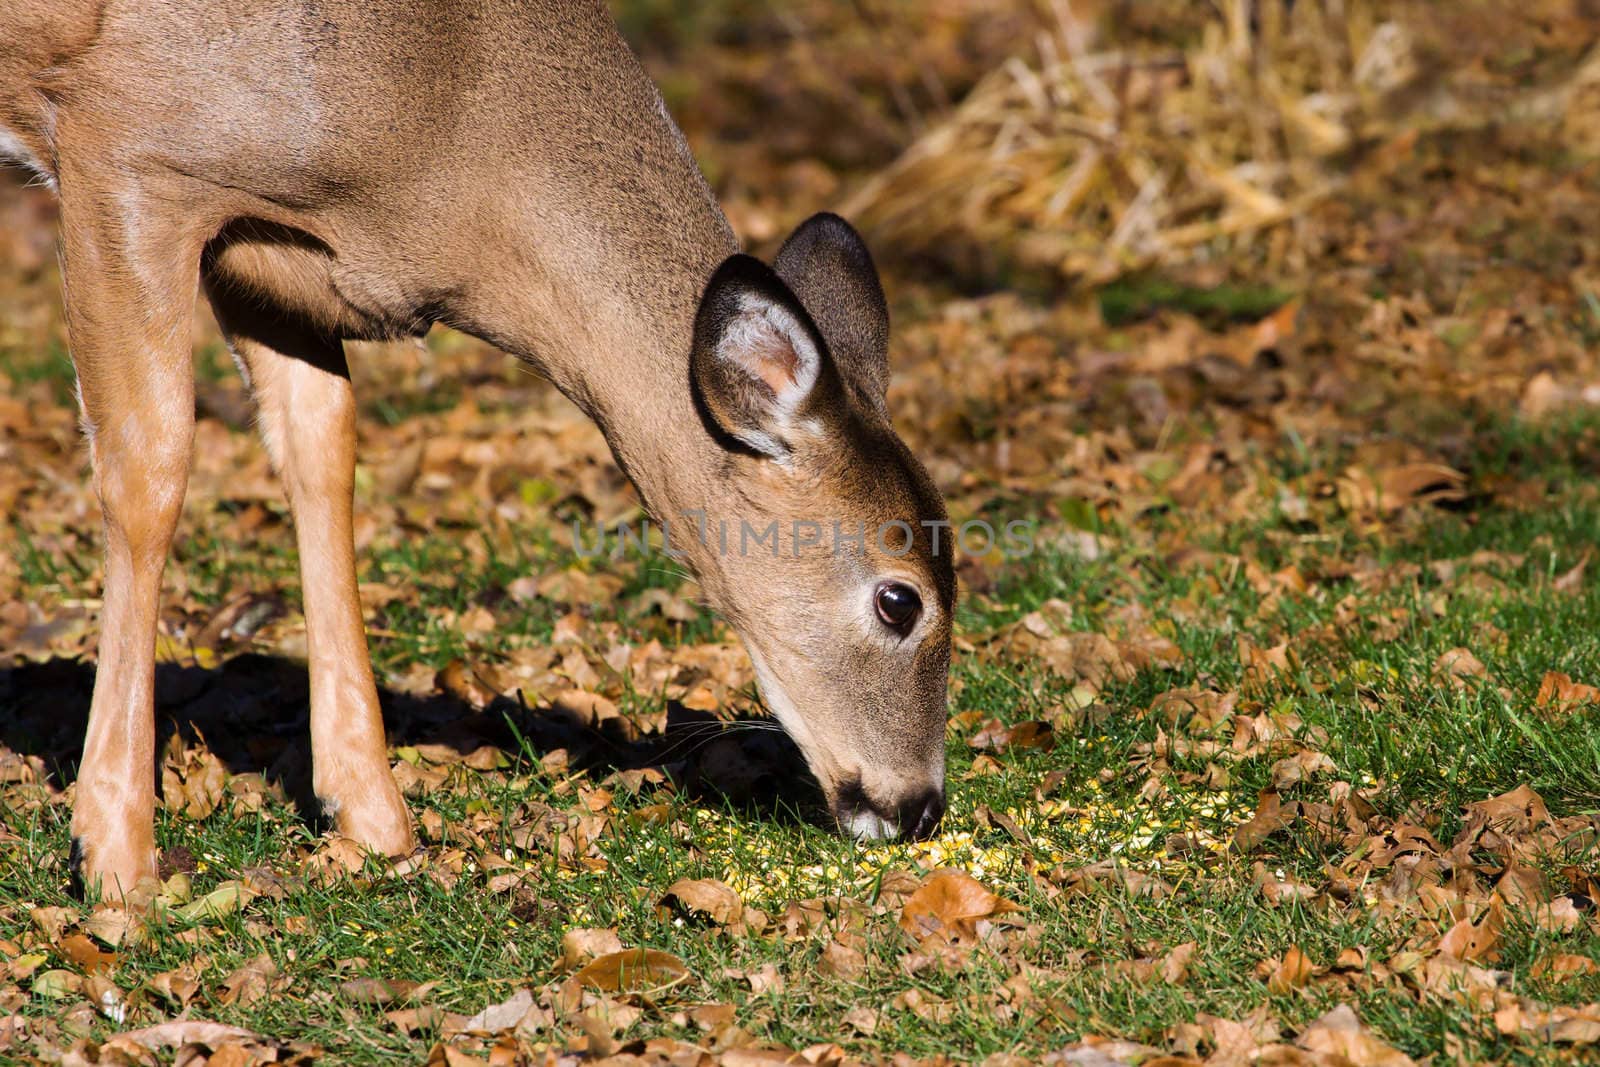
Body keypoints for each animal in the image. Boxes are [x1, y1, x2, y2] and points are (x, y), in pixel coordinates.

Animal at [3, 0, 947, 902]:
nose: (921, 805)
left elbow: (323, 448)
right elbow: (150, 469)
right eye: (899, 601)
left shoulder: (271, 256)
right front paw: (115, 855)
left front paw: (374, 818)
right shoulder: (130, 151)